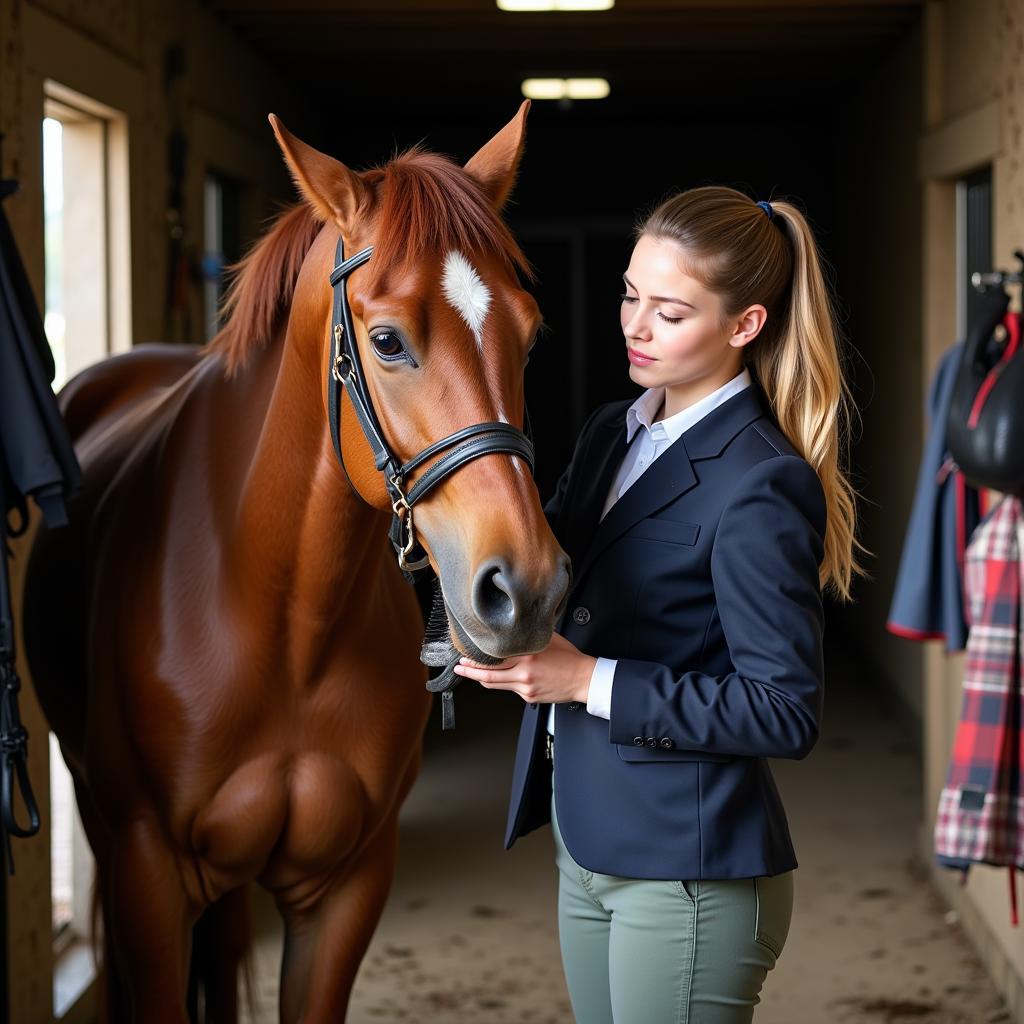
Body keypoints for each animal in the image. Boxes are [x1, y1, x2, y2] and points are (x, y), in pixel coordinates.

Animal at [22, 105, 569, 1024]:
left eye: (529, 339)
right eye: (386, 340)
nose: (525, 589)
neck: (284, 623)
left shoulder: (345, 887)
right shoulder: (147, 880)